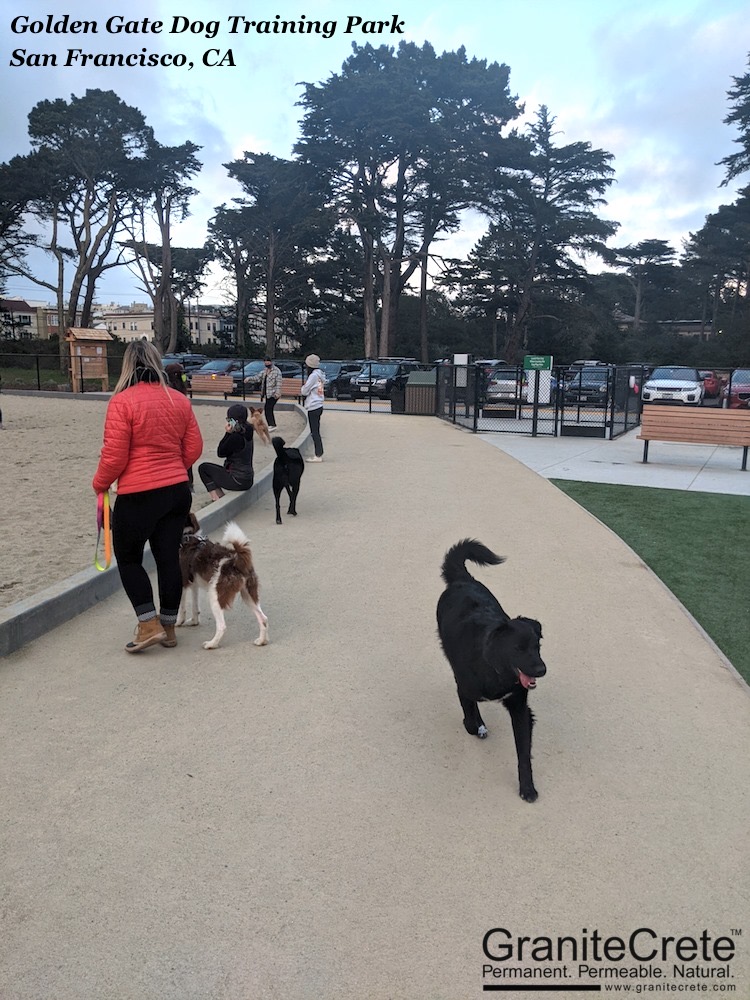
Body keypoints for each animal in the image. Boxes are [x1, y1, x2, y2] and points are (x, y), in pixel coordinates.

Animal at [177, 516, 268, 648]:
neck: (187, 536)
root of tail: (235, 562)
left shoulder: (182, 583)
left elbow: (181, 607)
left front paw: (178, 622)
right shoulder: (193, 583)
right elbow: (195, 606)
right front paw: (194, 621)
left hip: (215, 596)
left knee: (222, 626)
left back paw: (212, 644)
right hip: (248, 595)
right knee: (263, 618)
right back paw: (262, 641)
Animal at [434, 540, 548, 804]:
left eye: (537, 646)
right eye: (518, 648)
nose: (542, 670)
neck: (497, 671)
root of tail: (462, 580)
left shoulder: (519, 707)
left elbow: (523, 753)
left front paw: (527, 788)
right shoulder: (464, 687)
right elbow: (469, 719)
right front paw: (477, 726)